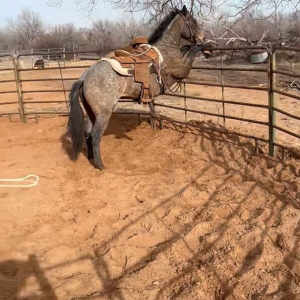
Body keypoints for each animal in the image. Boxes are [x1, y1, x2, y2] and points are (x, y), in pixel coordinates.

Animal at [67, 5, 210, 169]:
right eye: (193, 22)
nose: (202, 37)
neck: (166, 50)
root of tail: (84, 78)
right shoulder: (182, 70)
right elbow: (192, 50)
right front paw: (205, 45)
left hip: (91, 113)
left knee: (88, 134)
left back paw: (91, 158)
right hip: (103, 114)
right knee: (96, 136)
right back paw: (100, 165)